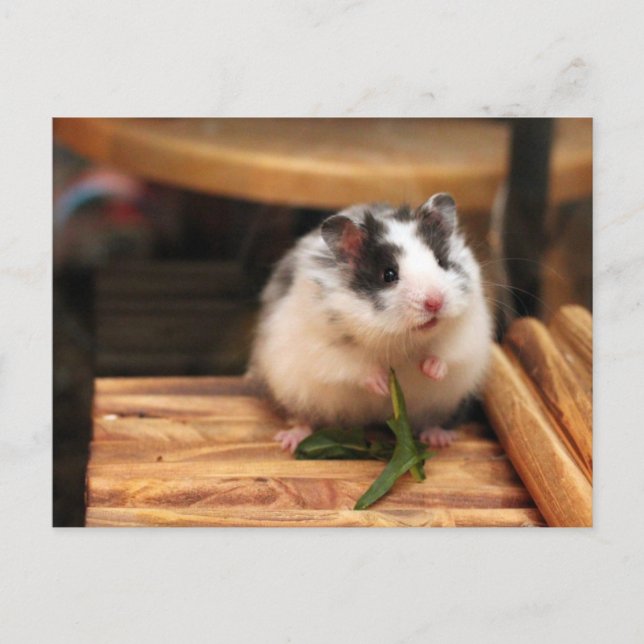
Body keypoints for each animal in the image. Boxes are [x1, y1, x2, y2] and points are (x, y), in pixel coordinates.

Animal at [248, 193, 492, 453]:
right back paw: (289, 441)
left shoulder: (467, 333)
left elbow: (447, 353)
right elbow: (355, 365)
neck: (400, 338)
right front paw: (383, 384)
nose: (435, 303)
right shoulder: (322, 346)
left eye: (440, 261)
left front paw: (430, 370)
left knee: (433, 421)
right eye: (389, 275)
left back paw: (439, 438)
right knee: (304, 418)